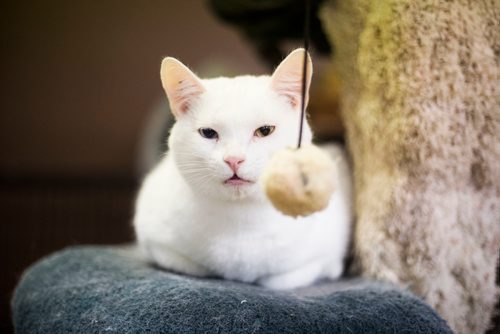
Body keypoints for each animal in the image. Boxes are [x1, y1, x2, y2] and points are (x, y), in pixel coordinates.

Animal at [133, 49, 352, 290]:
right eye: (208, 133)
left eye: (265, 130)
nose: (234, 160)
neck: (241, 223)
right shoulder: (156, 243)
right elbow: (194, 267)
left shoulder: (322, 254)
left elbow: (280, 280)